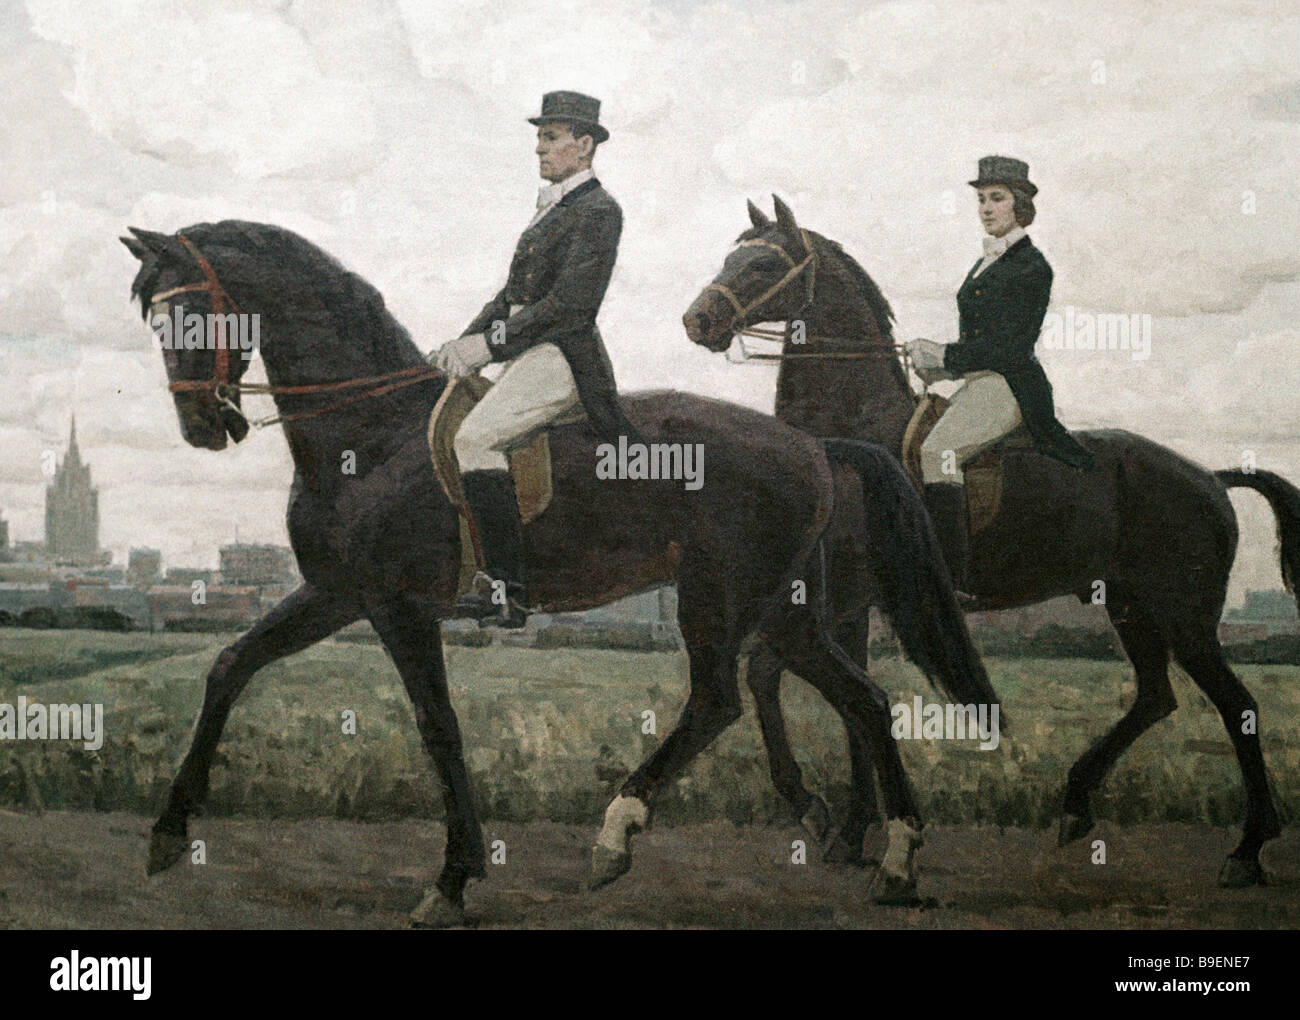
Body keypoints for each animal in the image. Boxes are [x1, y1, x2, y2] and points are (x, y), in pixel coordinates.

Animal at [122, 218, 993, 919]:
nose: (203, 426)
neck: (372, 432)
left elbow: (438, 726)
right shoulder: (338, 593)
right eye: (154, 318)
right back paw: (894, 863)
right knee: (862, 699)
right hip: (786, 608)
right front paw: (167, 834)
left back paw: (617, 837)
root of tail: (813, 444)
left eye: (195, 313)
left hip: (719, 595)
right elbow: (232, 665)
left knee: (721, 699)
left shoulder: (398, 606)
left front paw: (451, 880)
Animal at [681, 194, 1300, 888]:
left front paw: (822, 813)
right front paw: (852, 831)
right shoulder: (843, 608)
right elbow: (843, 705)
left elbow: (777, 675)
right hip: (1131, 607)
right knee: (1156, 697)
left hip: (1185, 618)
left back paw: (1247, 849)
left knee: (1237, 706)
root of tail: (1208, 477)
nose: (697, 320)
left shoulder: (838, 600)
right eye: (732, 256)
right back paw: (1075, 806)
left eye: (762, 264)